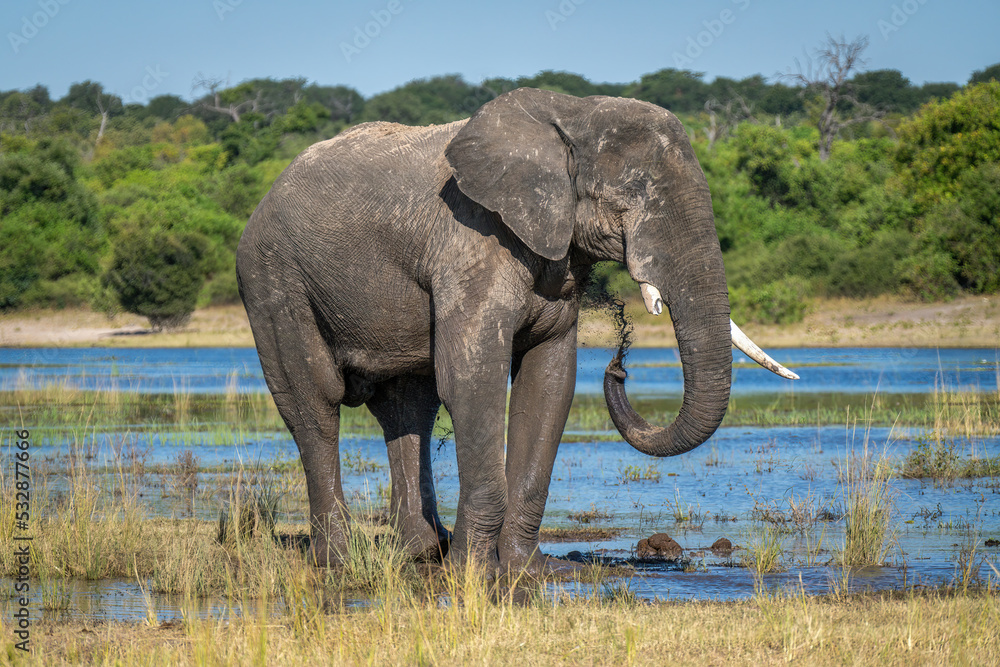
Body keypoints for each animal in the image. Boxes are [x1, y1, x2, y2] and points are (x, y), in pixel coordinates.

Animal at [235, 87, 797, 572]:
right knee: (315, 404)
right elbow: (472, 379)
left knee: (408, 405)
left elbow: (548, 382)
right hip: (271, 279)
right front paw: (471, 574)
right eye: (634, 196)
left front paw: (527, 570)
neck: (572, 114)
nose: (618, 367)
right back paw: (339, 560)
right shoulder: (472, 242)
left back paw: (421, 551)